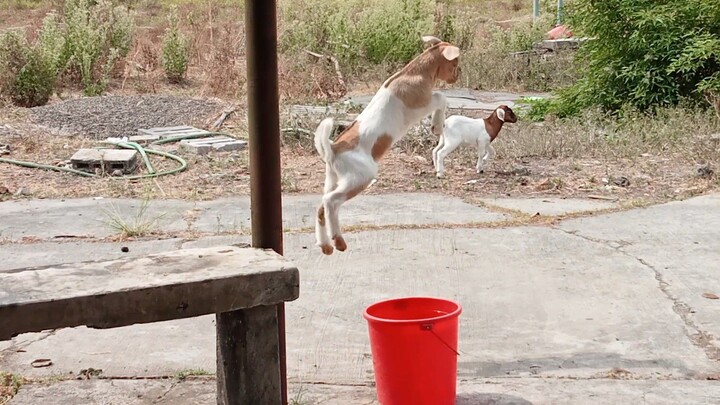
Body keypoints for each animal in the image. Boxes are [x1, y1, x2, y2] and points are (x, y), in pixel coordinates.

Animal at [314, 35, 461, 255]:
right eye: (456, 63)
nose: (458, 76)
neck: (415, 71)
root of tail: (334, 149)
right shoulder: (424, 103)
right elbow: (441, 97)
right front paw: (436, 125)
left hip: (333, 179)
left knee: (321, 208)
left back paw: (326, 245)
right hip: (360, 178)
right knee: (330, 202)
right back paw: (338, 240)